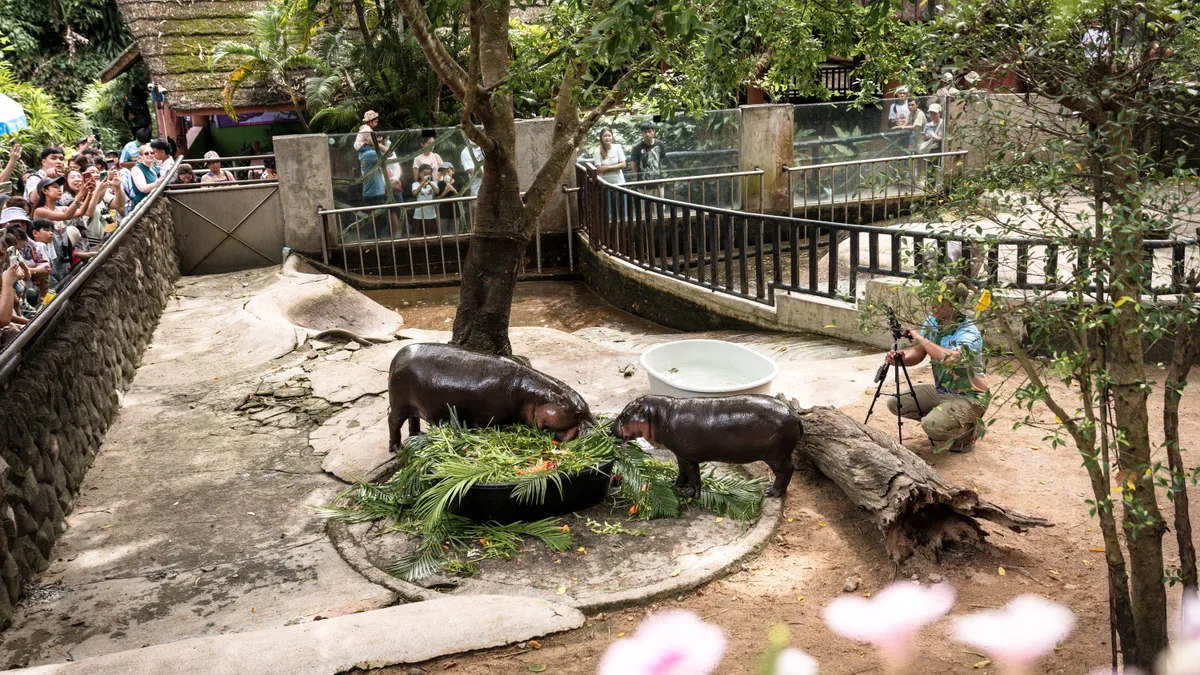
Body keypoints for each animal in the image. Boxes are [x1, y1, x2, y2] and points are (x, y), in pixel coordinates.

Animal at [388, 343, 594, 451]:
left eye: (587, 406)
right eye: (577, 413)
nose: (594, 429)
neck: (533, 394)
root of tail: (397, 356)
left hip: (413, 406)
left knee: (413, 420)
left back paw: (417, 435)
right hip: (398, 405)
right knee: (394, 424)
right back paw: (397, 448)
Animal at [610, 394, 803, 498]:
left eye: (625, 414)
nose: (611, 428)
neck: (659, 415)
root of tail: (795, 415)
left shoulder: (688, 458)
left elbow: (693, 475)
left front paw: (689, 493)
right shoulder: (680, 456)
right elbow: (681, 472)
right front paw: (674, 483)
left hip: (775, 455)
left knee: (785, 471)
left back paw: (771, 492)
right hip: (784, 453)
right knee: (791, 467)